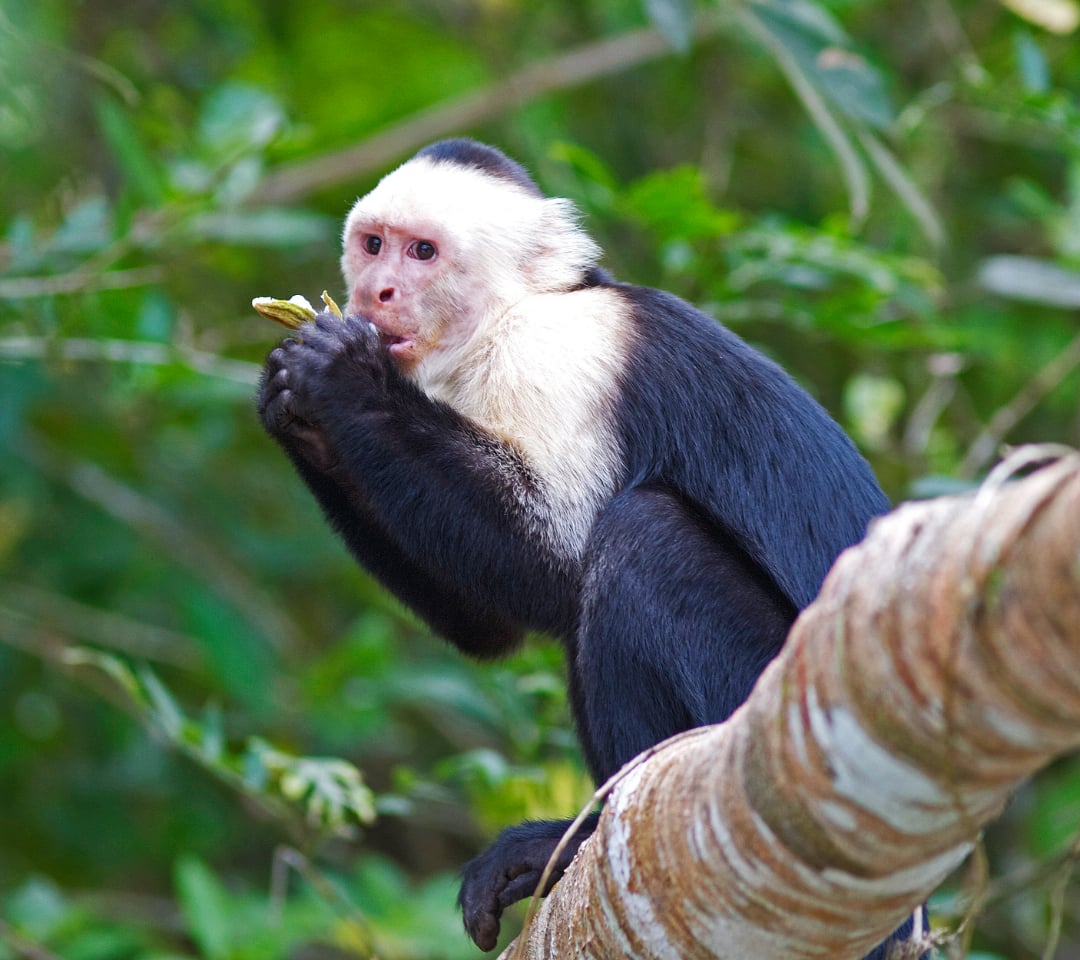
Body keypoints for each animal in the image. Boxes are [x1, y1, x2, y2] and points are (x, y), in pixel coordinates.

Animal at [258, 139, 921, 957]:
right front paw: (292, 405)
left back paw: (589, 833)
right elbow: (491, 626)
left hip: (785, 745)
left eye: (423, 253)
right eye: (374, 244)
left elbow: (552, 566)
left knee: (640, 540)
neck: (509, 317)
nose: (375, 292)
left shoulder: (556, 361)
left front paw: (344, 380)